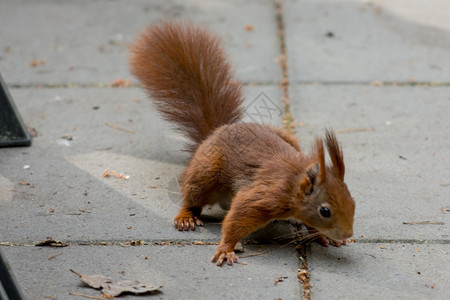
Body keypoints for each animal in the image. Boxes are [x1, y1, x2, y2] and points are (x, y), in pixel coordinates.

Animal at [129, 21, 356, 264]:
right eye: (325, 211)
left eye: (353, 201)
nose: (347, 233)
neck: (294, 183)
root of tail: (218, 130)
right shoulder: (264, 197)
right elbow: (238, 218)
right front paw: (227, 247)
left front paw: (323, 237)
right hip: (206, 172)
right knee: (192, 195)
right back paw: (186, 216)